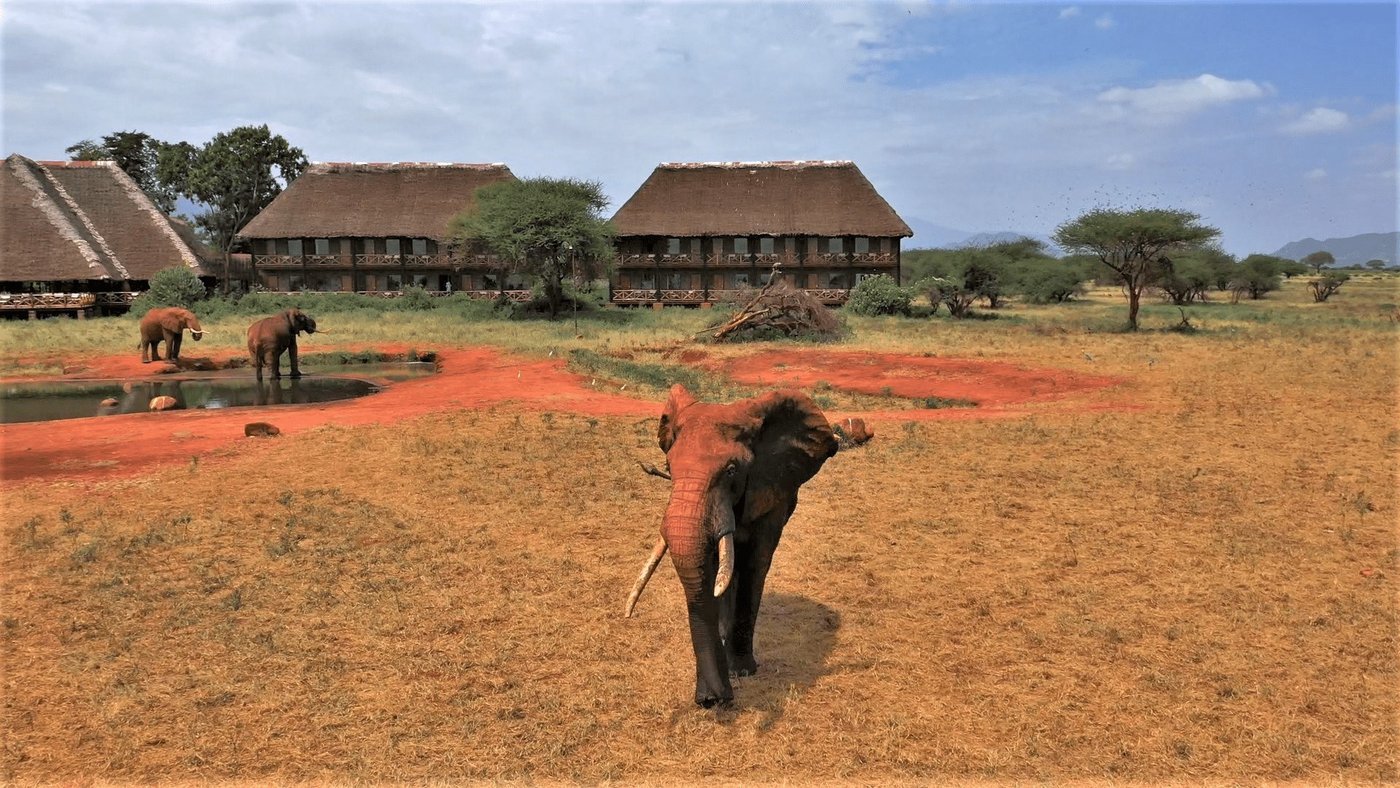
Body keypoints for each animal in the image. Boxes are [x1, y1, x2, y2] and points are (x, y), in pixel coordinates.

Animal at [625, 384, 837, 707]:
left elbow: (755, 563)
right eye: (668, 467)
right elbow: (710, 572)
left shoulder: (770, 490)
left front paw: (742, 672)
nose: (712, 700)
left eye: (731, 471)